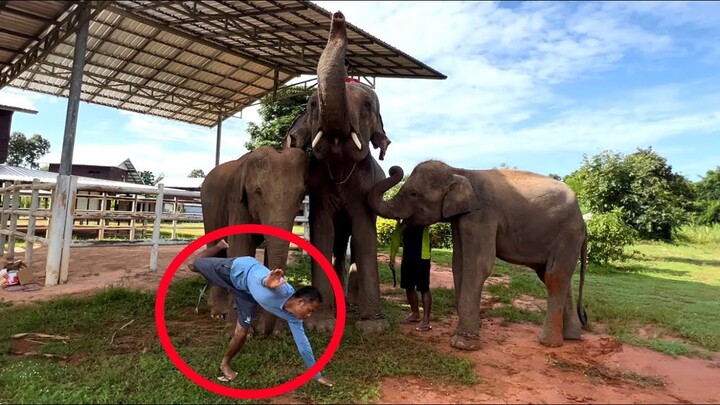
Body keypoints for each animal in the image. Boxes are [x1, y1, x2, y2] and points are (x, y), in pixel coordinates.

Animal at [198, 145, 308, 334]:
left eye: (301, 196)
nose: (266, 333)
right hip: (209, 209)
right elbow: (240, 246)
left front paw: (274, 331)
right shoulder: (237, 201)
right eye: (258, 192)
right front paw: (241, 332)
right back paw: (219, 313)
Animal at [282, 11, 394, 332]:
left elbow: (365, 235)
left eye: (367, 104)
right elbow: (322, 231)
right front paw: (321, 324)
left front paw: (373, 327)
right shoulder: (318, 189)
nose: (339, 16)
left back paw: (352, 304)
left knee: (351, 244)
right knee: (337, 243)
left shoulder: (366, 188)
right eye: (311, 104)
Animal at [368, 161, 588, 350]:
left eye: (414, 193)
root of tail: (582, 219)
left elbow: (478, 265)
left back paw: (549, 342)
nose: (393, 168)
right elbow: (459, 264)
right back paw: (571, 336)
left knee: (554, 276)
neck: (459, 171)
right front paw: (474, 328)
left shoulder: (482, 215)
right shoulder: (460, 219)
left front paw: (462, 344)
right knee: (556, 277)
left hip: (568, 233)